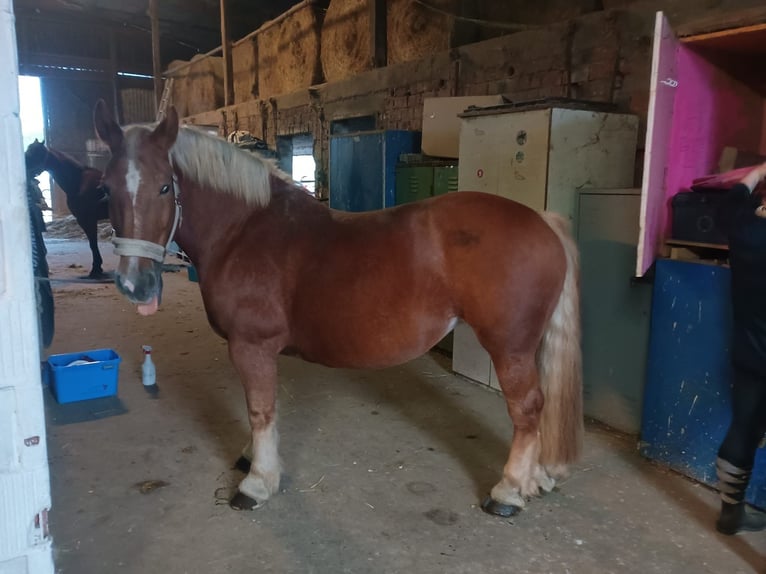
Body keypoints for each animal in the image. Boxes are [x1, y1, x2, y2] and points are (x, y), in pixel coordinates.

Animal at [25, 139, 110, 278]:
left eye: (36, 152)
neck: (78, 181)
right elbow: (93, 244)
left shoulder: (87, 219)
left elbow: (93, 244)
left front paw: (95, 269)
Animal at [93, 99, 584, 517]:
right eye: (107, 188)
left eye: (164, 186)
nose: (135, 284)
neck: (244, 229)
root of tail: (542, 220)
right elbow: (262, 409)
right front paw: (253, 459)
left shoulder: (251, 346)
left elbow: (260, 410)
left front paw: (257, 482)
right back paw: (535, 480)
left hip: (509, 346)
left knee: (527, 410)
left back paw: (508, 491)